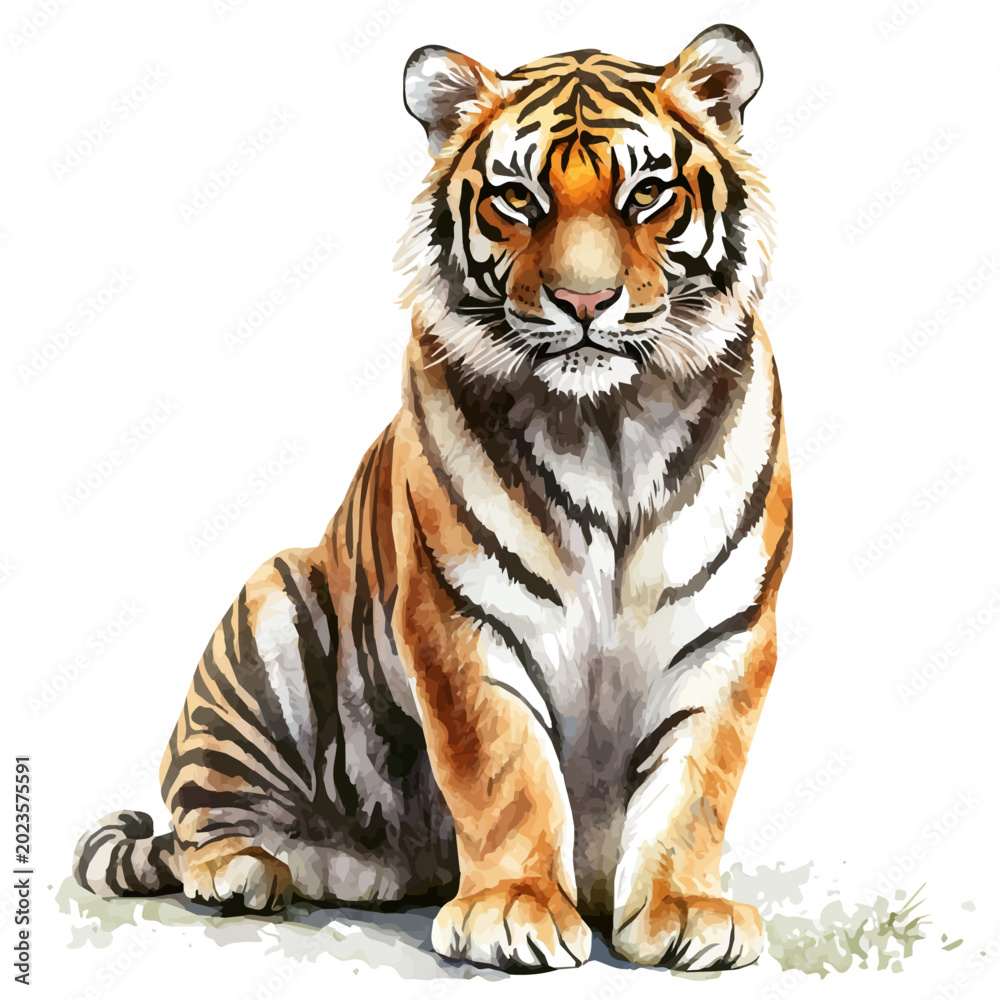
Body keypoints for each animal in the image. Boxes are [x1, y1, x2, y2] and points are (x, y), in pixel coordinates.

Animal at [73, 24, 792, 973]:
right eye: (519, 198)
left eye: (646, 193)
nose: (586, 300)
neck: (607, 426)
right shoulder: (463, 614)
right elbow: (504, 769)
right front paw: (514, 910)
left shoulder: (724, 627)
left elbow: (695, 781)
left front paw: (685, 911)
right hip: (268, 609)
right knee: (199, 811)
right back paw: (243, 870)